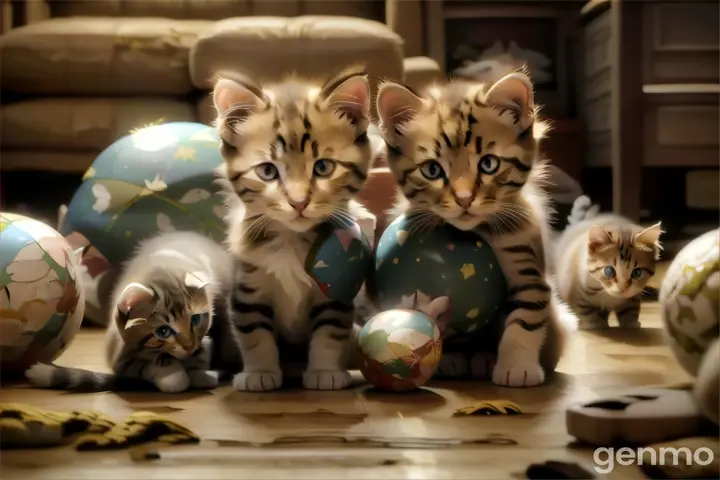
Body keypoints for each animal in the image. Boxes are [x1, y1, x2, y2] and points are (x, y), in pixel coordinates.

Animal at [24, 232, 242, 394]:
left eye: (195, 319)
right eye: (163, 331)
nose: (189, 347)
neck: (167, 262)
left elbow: (203, 351)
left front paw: (199, 371)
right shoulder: (120, 354)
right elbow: (147, 363)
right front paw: (174, 377)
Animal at [212, 67, 372, 392]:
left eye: (323, 167)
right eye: (267, 171)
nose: (299, 202)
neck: (292, 239)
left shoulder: (336, 290)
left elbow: (330, 330)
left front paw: (325, 372)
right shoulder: (248, 289)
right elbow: (254, 333)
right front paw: (260, 372)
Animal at [374, 70, 572, 386]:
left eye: (488, 164)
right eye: (432, 170)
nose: (464, 198)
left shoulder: (526, 259)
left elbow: (526, 313)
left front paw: (517, 367)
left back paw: (485, 358)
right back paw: (455, 359)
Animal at [552, 195, 664, 330]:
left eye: (637, 273)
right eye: (609, 271)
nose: (623, 288)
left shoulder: (634, 293)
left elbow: (630, 308)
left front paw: (631, 323)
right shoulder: (575, 290)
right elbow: (584, 309)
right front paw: (593, 324)